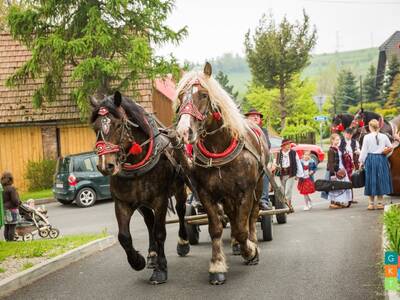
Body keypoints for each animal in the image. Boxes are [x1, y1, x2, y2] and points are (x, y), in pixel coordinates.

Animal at [90, 92, 191, 284]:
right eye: (95, 127)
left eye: (118, 124)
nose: (105, 165)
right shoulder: (122, 203)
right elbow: (124, 236)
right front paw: (138, 261)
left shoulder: (160, 200)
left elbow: (160, 232)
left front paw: (161, 269)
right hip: (142, 203)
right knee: (149, 221)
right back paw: (152, 255)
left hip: (180, 188)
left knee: (181, 211)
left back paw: (183, 243)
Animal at [173, 62, 286, 284]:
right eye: (181, 96)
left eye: (204, 95)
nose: (183, 132)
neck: (219, 147)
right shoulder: (207, 194)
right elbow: (216, 228)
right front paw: (217, 266)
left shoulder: (245, 192)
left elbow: (243, 227)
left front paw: (250, 251)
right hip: (226, 195)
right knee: (232, 216)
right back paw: (234, 243)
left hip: (257, 186)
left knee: (252, 216)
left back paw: (251, 242)